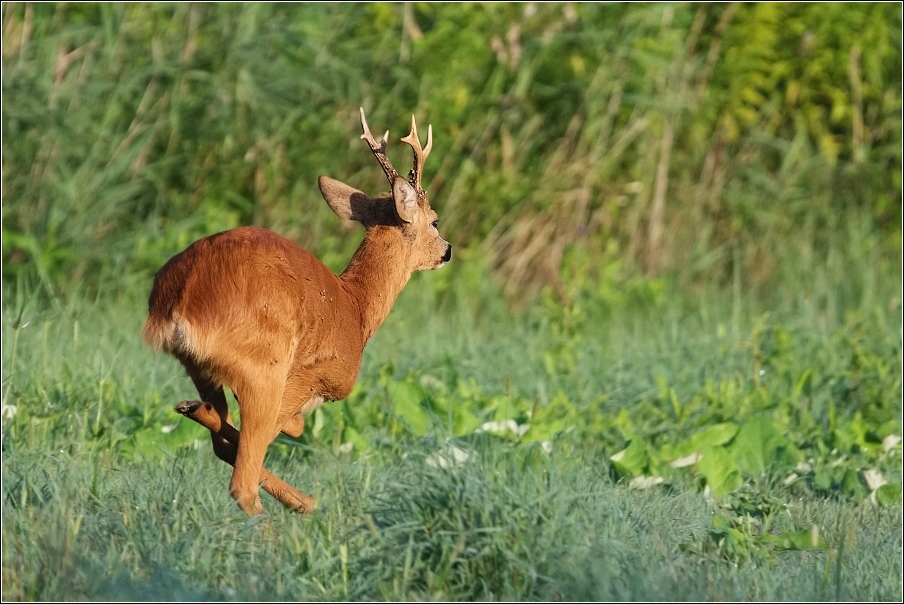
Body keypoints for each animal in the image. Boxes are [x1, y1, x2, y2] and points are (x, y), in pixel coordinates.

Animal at [143, 109, 450, 516]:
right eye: (434, 220)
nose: (448, 250)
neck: (357, 308)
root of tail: (180, 296)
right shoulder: (312, 376)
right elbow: (293, 427)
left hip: (199, 365)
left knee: (224, 441)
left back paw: (195, 410)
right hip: (264, 365)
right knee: (242, 477)